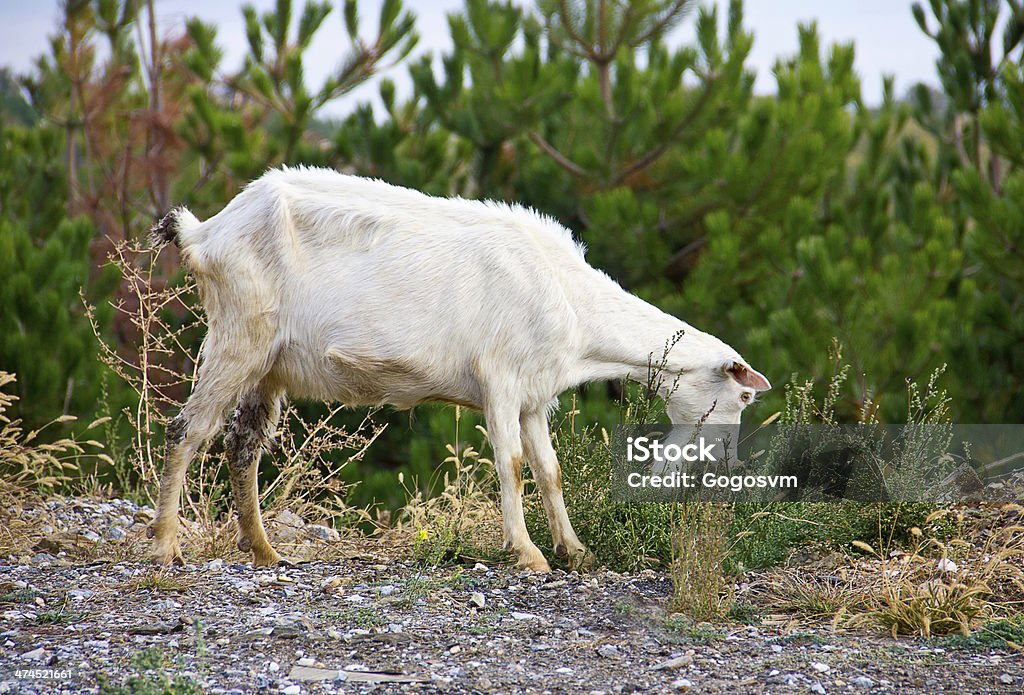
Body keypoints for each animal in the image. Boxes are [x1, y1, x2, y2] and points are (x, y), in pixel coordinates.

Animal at [146, 166, 770, 569]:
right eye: (743, 397)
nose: (731, 462)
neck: (572, 304)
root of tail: (206, 231)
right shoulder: (501, 381)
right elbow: (512, 466)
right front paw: (529, 554)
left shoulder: (535, 396)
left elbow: (549, 469)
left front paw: (574, 549)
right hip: (238, 336)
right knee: (187, 430)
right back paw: (165, 545)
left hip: (267, 365)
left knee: (242, 445)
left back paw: (264, 550)